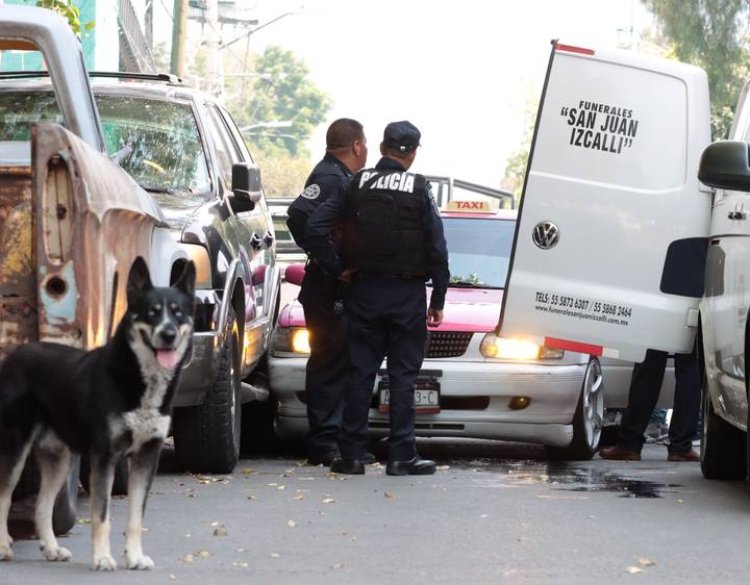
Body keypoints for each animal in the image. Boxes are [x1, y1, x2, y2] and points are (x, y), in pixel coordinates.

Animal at [0, 258, 197, 568]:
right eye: (152, 313)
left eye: (178, 314)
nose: (168, 334)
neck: (141, 380)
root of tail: (11, 358)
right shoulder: (105, 456)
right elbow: (101, 516)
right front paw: (103, 558)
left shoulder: (146, 456)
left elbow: (136, 517)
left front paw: (135, 557)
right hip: (15, 448)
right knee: (4, 498)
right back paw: (4, 546)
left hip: (60, 459)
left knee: (42, 506)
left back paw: (52, 549)